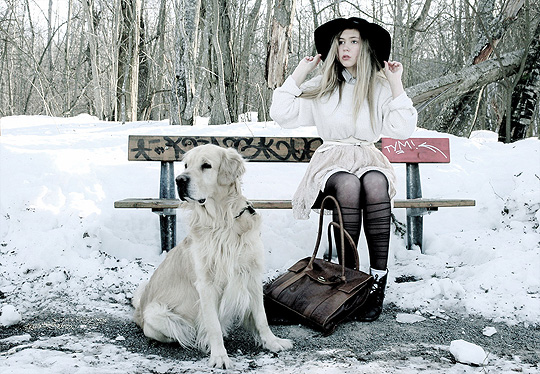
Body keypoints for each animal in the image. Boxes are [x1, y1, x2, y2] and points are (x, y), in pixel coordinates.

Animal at [133, 145, 294, 370]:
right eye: (186, 165)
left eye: (206, 165)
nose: (179, 180)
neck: (222, 221)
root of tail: (139, 312)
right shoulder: (206, 284)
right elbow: (213, 325)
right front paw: (219, 356)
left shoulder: (252, 275)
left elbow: (261, 317)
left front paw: (272, 342)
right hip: (157, 314)